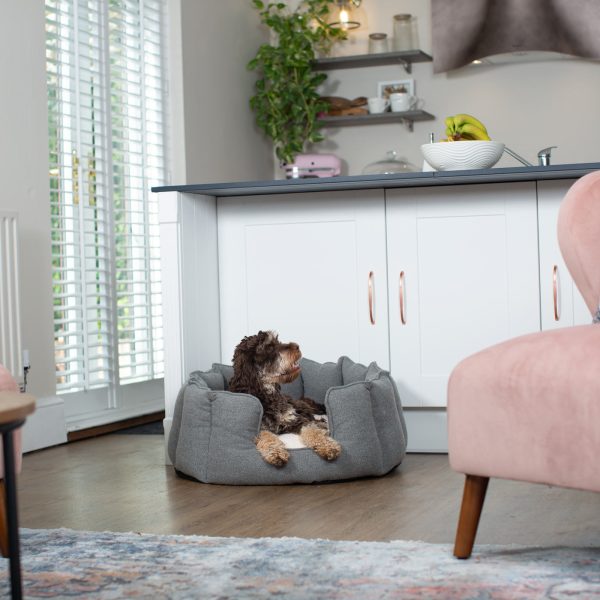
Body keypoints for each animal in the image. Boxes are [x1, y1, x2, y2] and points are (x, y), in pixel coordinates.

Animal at [227, 330, 340, 466]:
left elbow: (312, 429)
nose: (297, 346)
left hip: (300, 408)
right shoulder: (258, 428)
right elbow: (266, 436)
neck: (267, 394)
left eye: (277, 341)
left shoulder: (295, 419)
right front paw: (275, 452)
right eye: (269, 347)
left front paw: (327, 445)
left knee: (315, 419)